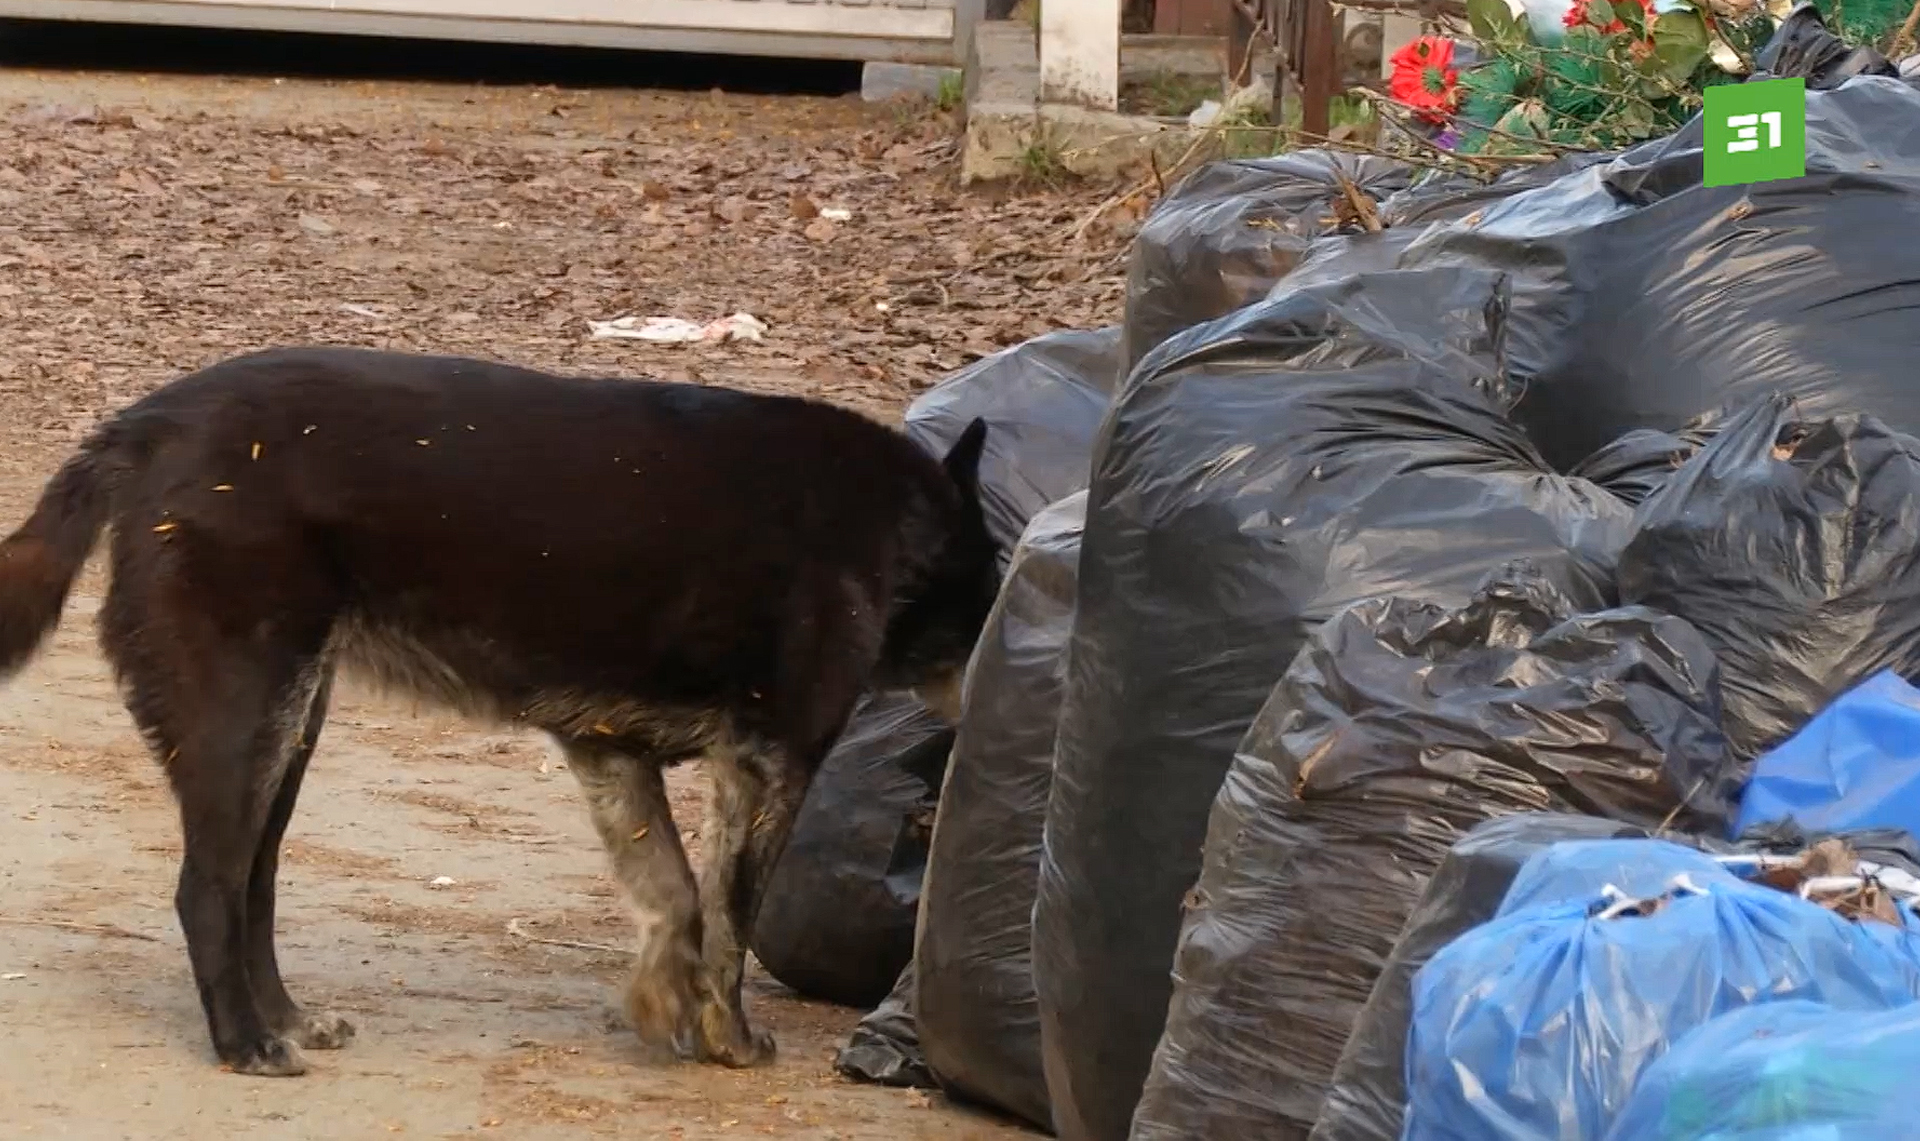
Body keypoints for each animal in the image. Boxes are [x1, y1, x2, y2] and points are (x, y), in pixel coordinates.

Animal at [0, 345, 990, 1075]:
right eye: (987, 592)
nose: (988, 679)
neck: (895, 528)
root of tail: (146, 422)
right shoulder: (770, 761)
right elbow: (730, 920)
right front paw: (728, 1038)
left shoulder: (610, 747)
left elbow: (675, 896)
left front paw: (663, 1003)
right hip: (248, 716)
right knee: (206, 888)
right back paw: (245, 1042)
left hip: (290, 729)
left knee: (255, 881)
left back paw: (284, 1017)